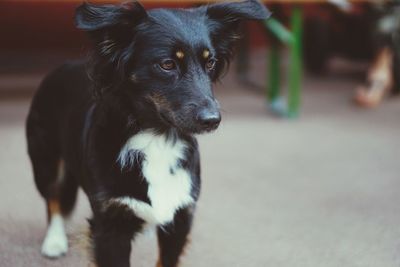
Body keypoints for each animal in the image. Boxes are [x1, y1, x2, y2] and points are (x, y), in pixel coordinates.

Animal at [26, 1, 270, 266]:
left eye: (210, 63)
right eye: (167, 64)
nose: (212, 120)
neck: (158, 137)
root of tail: (61, 67)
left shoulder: (180, 218)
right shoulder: (110, 225)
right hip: (45, 161)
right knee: (53, 199)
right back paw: (54, 241)